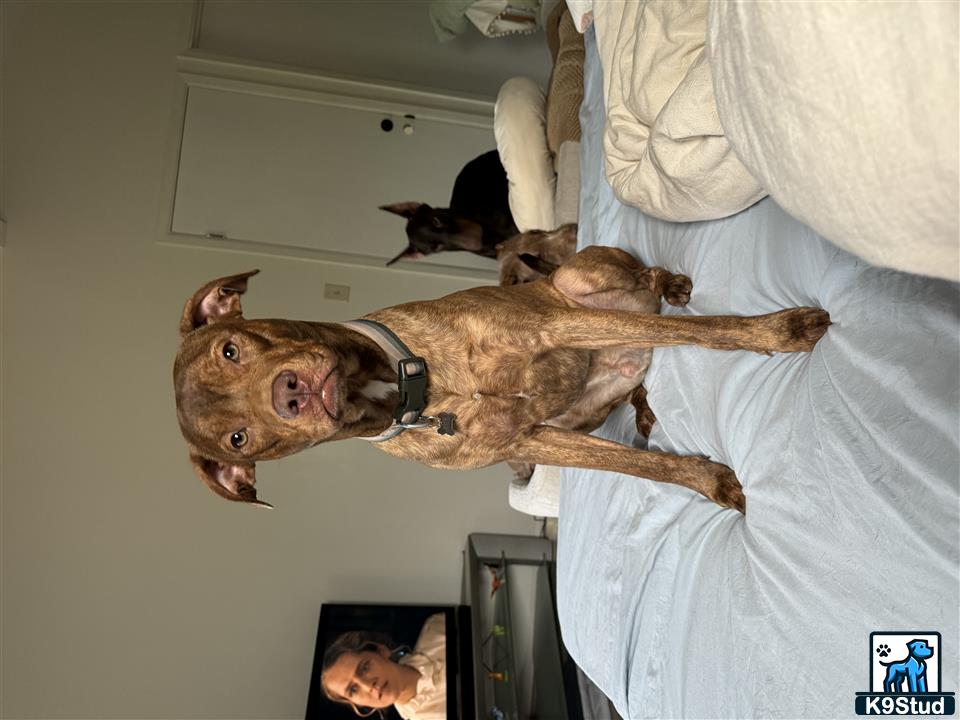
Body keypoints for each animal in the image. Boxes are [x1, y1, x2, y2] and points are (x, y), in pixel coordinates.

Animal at [174, 246, 832, 512]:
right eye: (238, 440)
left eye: (231, 349)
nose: (288, 394)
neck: (413, 390)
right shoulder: (533, 438)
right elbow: (638, 466)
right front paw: (714, 485)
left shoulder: (555, 326)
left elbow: (711, 331)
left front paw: (781, 332)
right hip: (585, 405)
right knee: (640, 373)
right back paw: (644, 406)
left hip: (579, 281)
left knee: (649, 287)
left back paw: (669, 285)